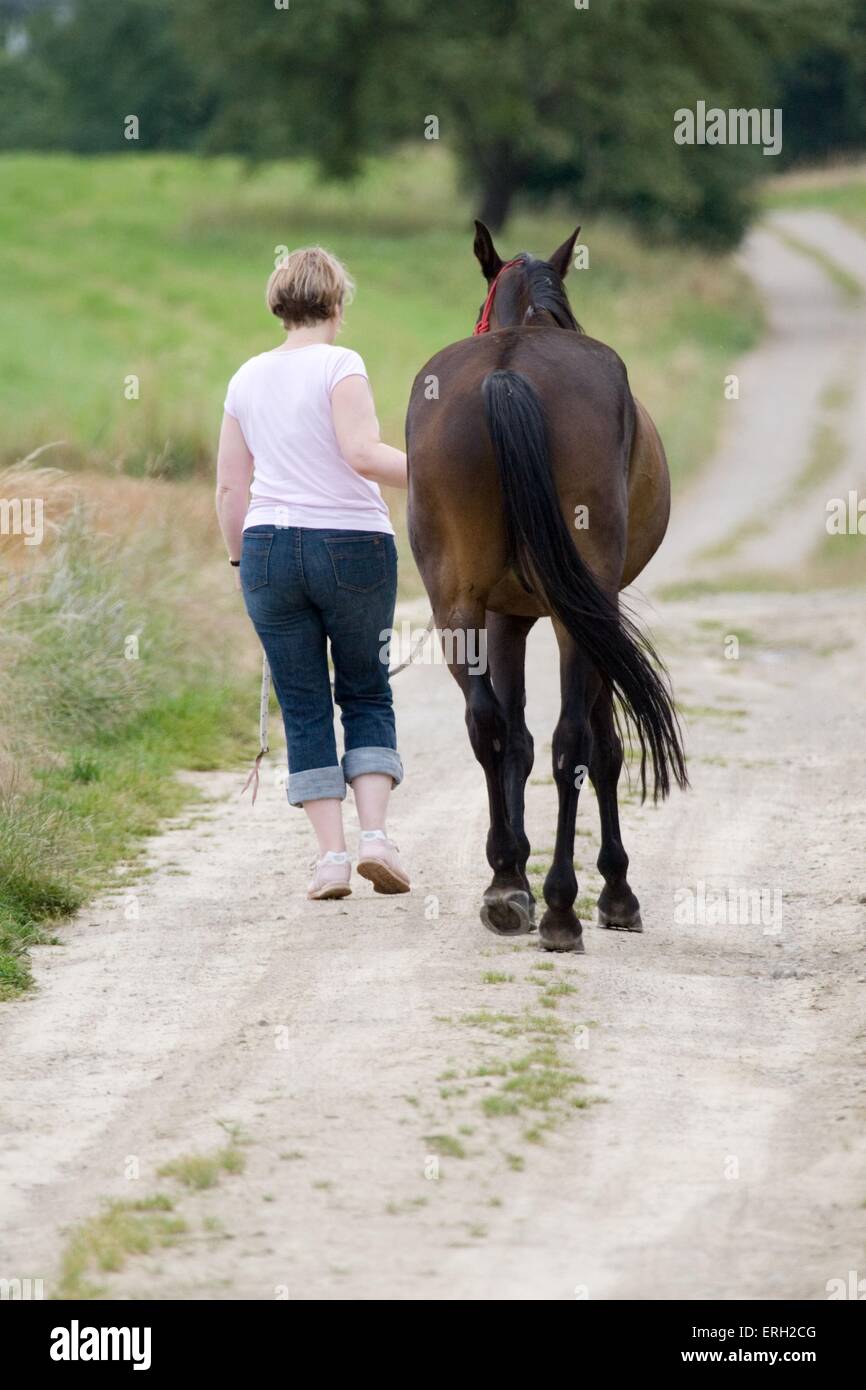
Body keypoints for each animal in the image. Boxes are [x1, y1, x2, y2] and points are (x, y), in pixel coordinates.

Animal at [408, 219, 692, 956]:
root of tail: (509, 371)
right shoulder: (593, 609)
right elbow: (602, 745)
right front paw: (617, 891)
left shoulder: (504, 617)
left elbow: (513, 735)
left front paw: (509, 876)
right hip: (573, 615)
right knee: (573, 745)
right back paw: (564, 907)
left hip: (456, 605)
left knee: (487, 724)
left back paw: (511, 890)